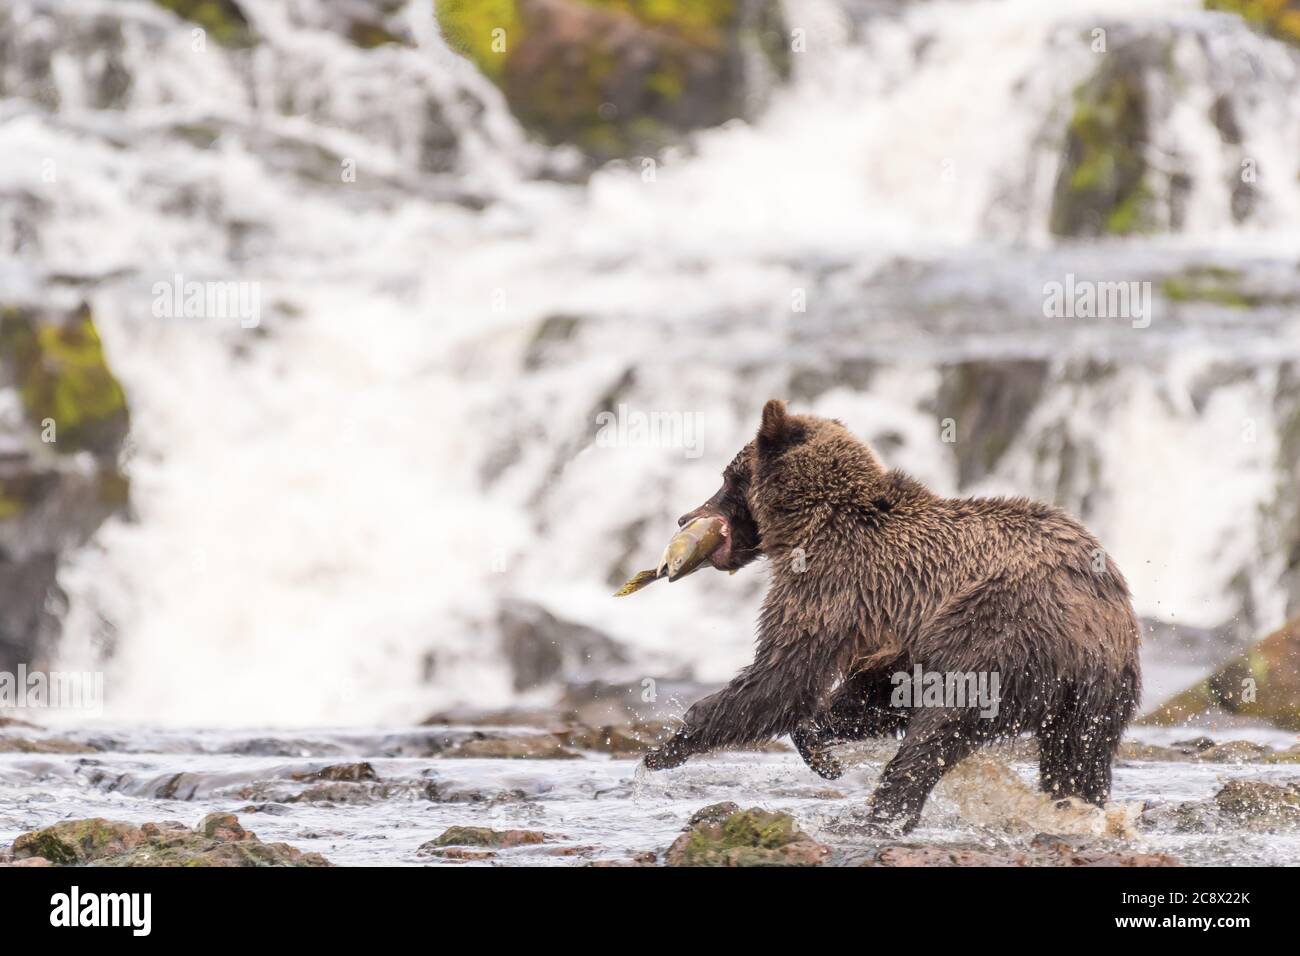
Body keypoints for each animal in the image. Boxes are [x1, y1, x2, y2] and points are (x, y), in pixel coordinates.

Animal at [639, 400, 1138, 832]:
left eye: (728, 477)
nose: (685, 516)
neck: (809, 522)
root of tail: (1098, 620)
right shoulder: (896, 630)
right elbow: (878, 693)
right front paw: (820, 742)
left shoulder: (832, 586)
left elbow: (782, 677)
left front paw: (667, 746)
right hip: (1099, 699)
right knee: (1078, 760)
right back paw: (1076, 807)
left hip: (1000, 633)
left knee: (938, 728)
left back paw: (880, 814)